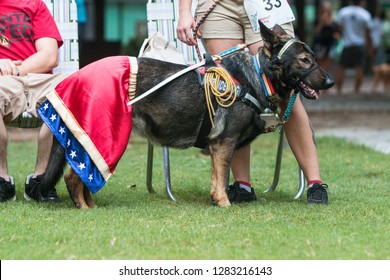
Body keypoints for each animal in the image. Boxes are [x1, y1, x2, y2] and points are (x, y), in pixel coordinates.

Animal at [38, 21, 332, 208]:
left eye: (314, 58)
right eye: (305, 60)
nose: (329, 82)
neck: (256, 77)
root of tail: (74, 77)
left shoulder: (218, 147)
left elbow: (216, 179)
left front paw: (217, 201)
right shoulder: (224, 143)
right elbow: (222, 179)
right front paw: (225, 204)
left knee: (82, 178)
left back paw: (91, 205)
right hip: (105, 142)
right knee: (73, 178)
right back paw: (85, 209)